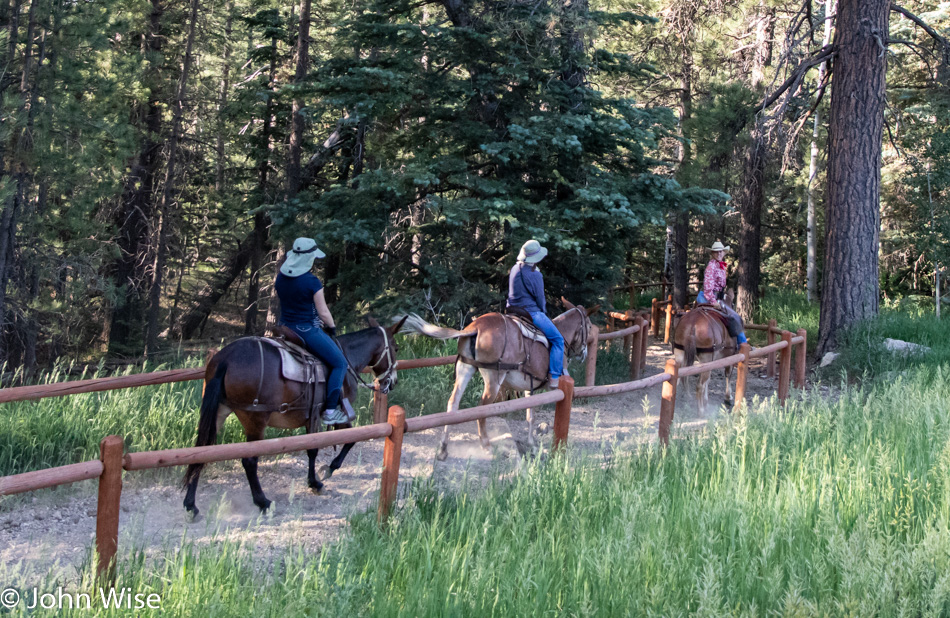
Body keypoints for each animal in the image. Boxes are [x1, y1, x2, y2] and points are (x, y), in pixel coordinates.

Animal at [183, 316, 410, 516]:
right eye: (396, 348)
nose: (394, 381)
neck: (347, 358)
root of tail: (226, 358)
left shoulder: (314, 417)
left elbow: (315, 448)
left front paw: (316, 479)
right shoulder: (334, 413)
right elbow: (341, 442)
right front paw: (324, 473)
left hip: (219, 411)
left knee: (201, 450)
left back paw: (190, 505)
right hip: (255, 420)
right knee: (249, 461)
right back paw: (262, 502)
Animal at [400, 298, 596, 458]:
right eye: (588, 325)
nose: (584, 353)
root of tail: (475, 327)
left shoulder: (528, 387)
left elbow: (530, 416)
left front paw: (532, 445)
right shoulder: (554, 387)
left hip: (465, 369)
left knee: (453, 403)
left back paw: (443, 448)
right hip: (493, 380)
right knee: (481, 408)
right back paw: (485, 444)